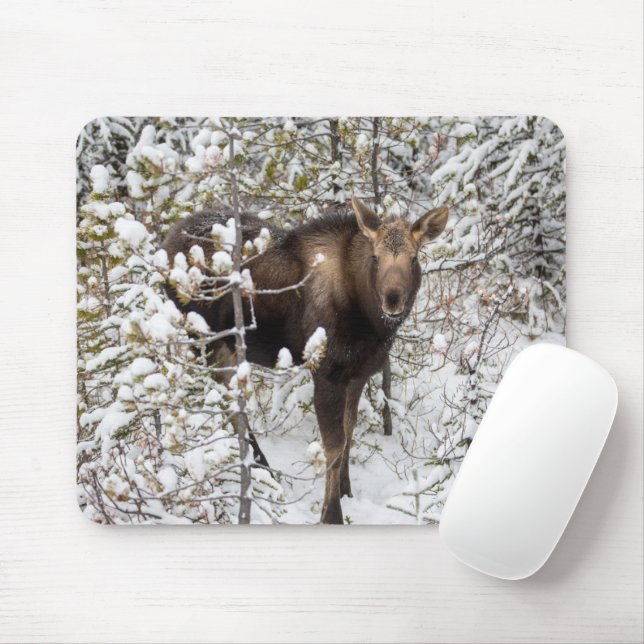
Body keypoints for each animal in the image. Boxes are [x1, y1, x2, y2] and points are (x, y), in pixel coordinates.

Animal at [162, 196, 448, 523]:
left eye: (413, 258)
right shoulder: (327, 373)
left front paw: (346, 490)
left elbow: (349, 432)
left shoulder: (358, 373)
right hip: (204, 339)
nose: (392, 299)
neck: (370, 323)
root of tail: (166, 241)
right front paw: (332, 514)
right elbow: (334, 445)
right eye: (376, 257)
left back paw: (261, 465)